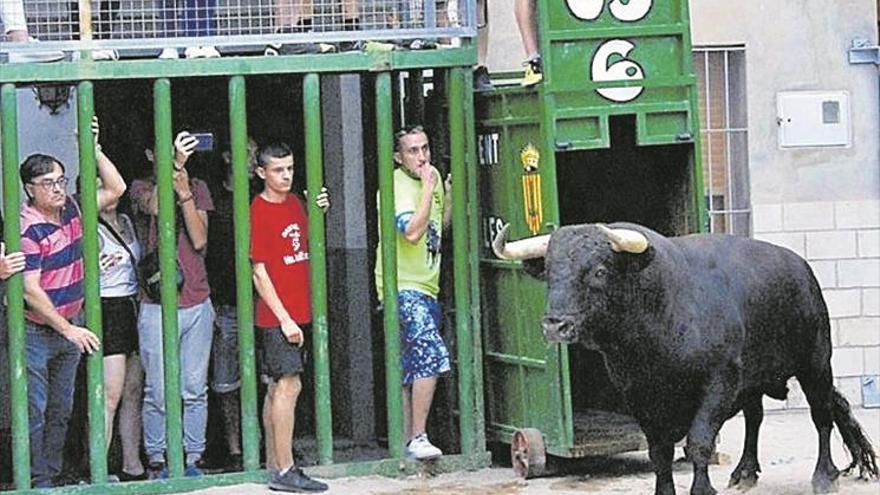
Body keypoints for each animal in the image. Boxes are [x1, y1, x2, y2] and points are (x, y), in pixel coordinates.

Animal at [492, 224, 876, 495]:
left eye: (599, 271)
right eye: (550, 271)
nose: (555, 325)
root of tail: (801, 268)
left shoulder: (718, 383)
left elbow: (699, 442)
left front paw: (702, 488)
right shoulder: (638, 395)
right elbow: (659, 451)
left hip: (816, 361)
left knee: (822, 415)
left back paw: (824, 476)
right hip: (753, 379)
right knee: (755, 417)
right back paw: (745, 472)